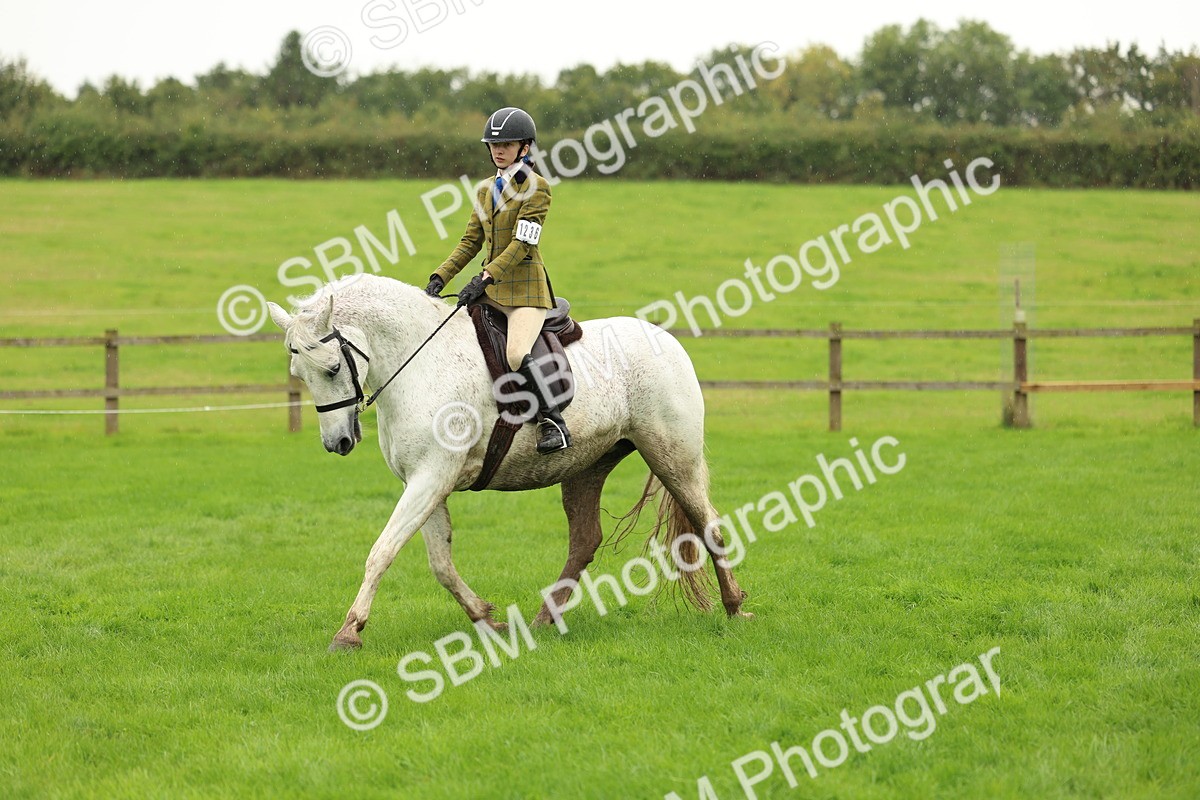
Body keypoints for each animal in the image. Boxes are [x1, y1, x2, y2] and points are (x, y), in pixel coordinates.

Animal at [266, 274, 751, 650]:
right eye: (298, 374)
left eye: (332, 369)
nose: (338, 442)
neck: (421, 362)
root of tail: (665, 339)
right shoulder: (423, 481)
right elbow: (440, 565)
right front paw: (487, 618)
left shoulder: (430, 478)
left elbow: (382, 551)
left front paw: (349, 632)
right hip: (588, 466)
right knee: (585, 541)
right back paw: (542, 619)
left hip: (672, 457)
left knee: (707, 522)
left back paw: (734, 607)